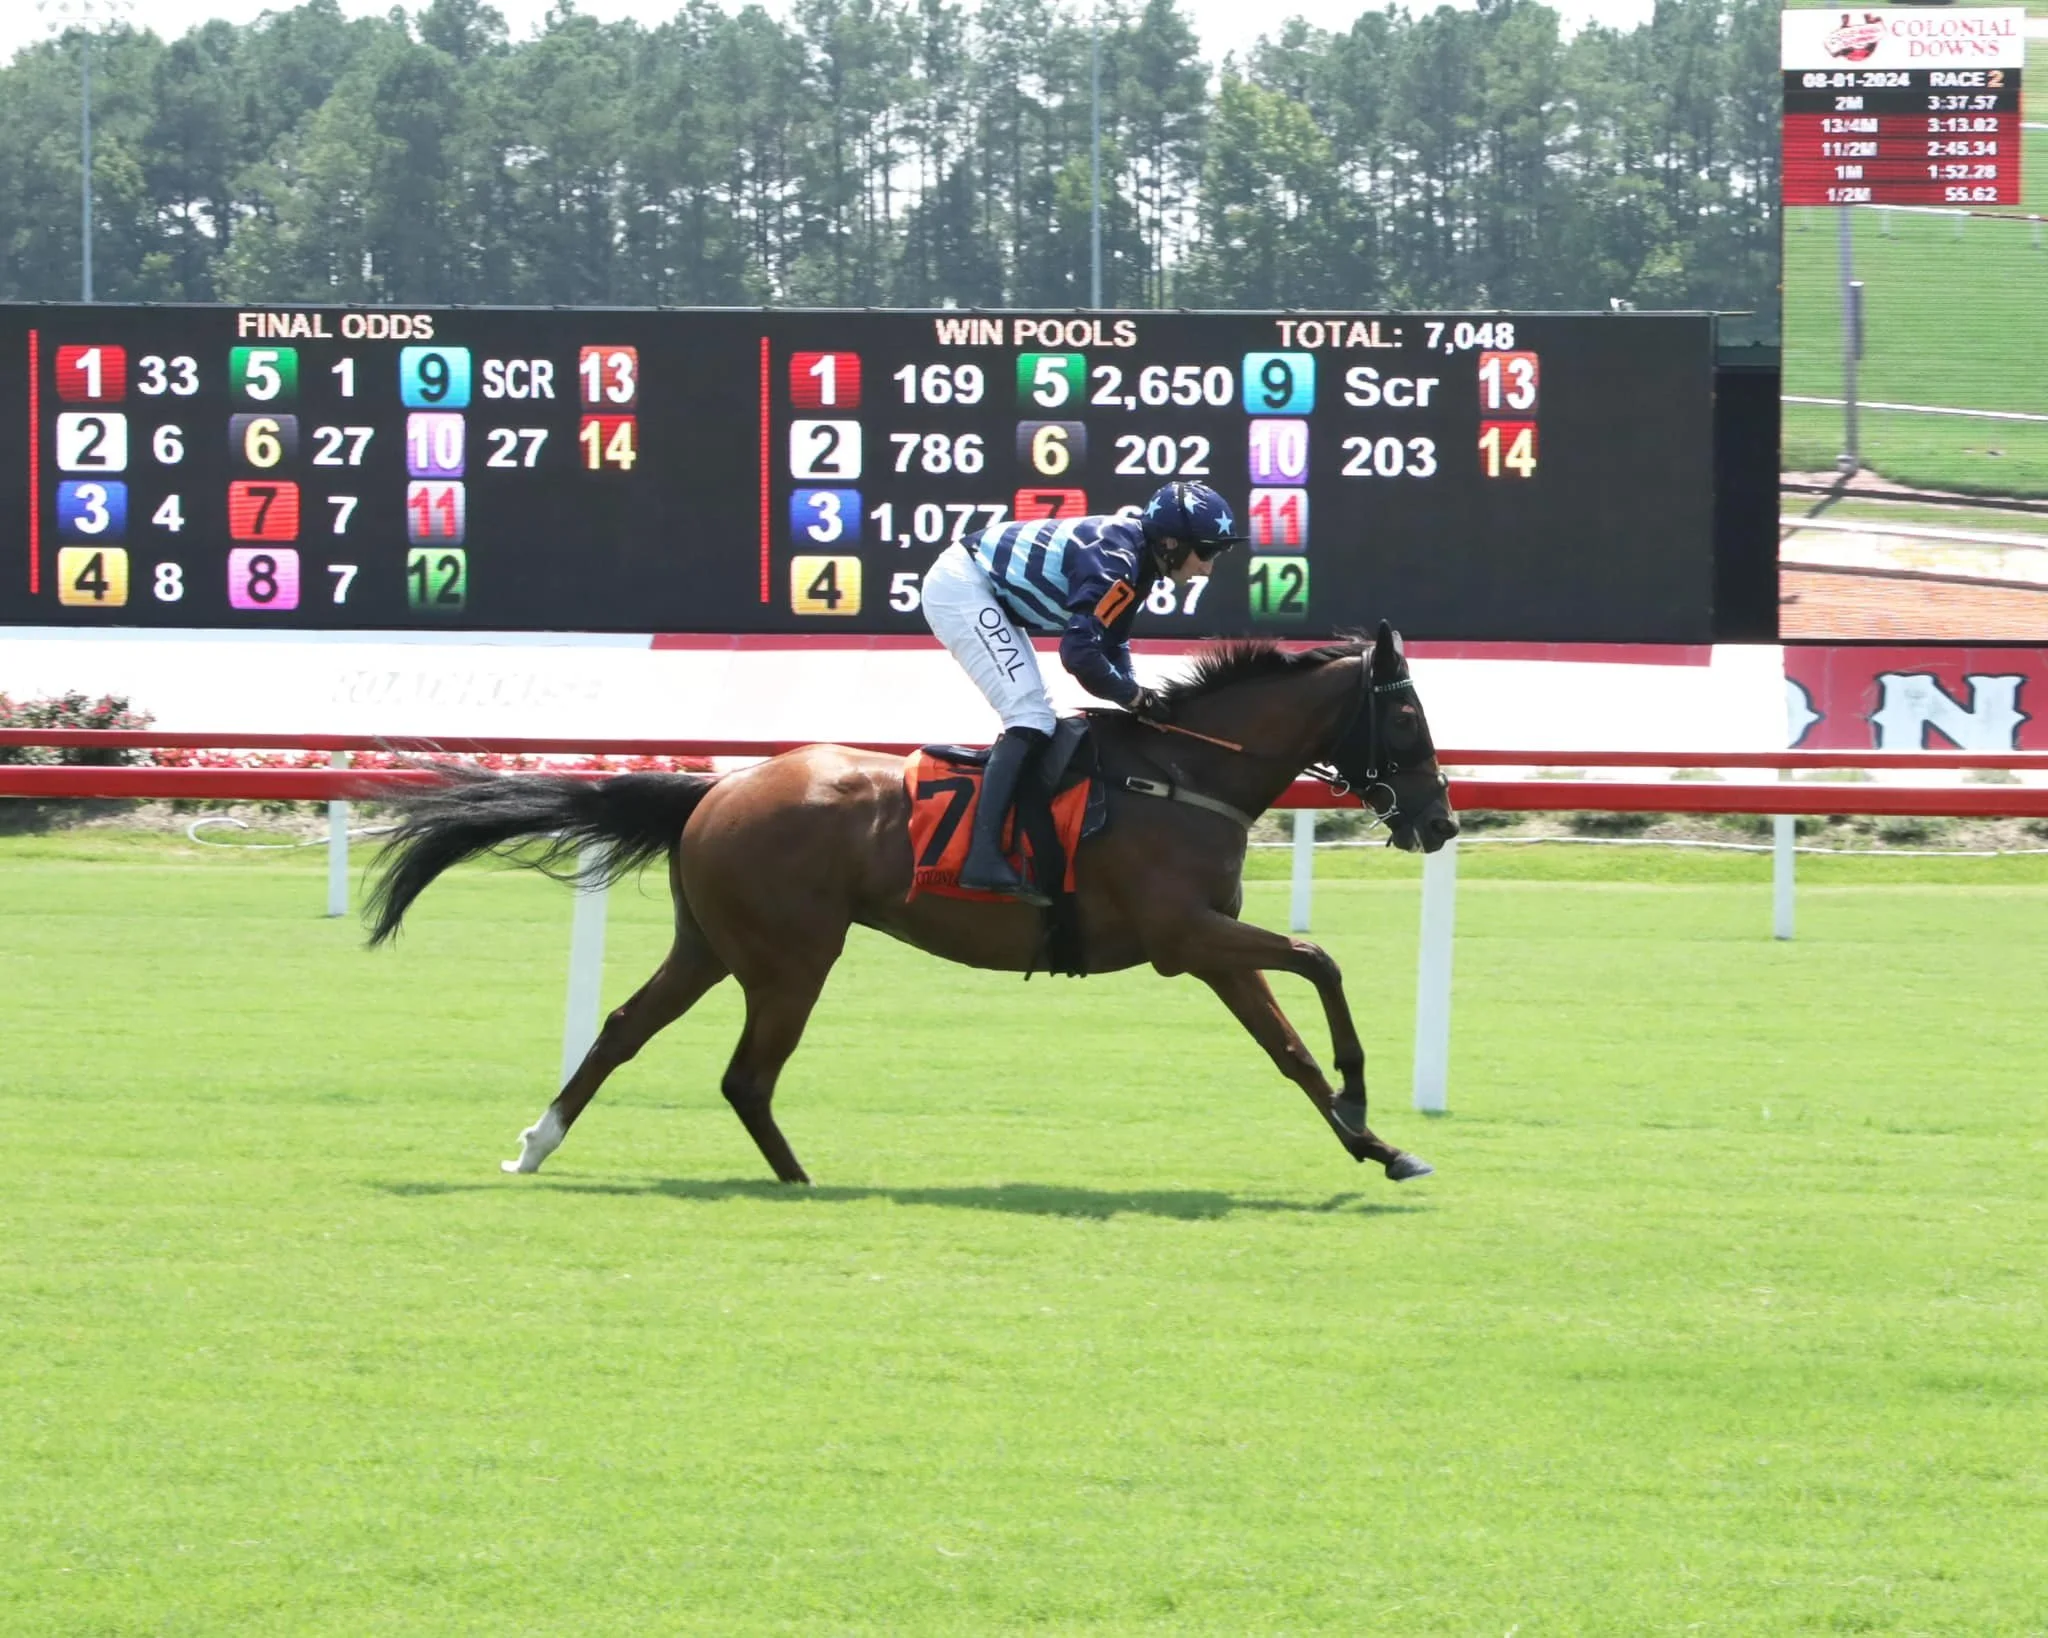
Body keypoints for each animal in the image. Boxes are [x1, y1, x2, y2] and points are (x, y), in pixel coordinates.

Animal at [364, 621, 1460, 1185]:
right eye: (1406, 711)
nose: (1441, 821)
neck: (1184, 773)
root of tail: (715, 787)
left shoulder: (1210, 946)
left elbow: (1287, 1048)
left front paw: (1379, 1145)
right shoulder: (1184, 935)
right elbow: (1320, 962)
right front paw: (1365, 1094)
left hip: (711, 945)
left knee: (627, 1027)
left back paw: (538, 1143)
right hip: (791, 957)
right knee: (744, 1075)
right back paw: (802, 1179)